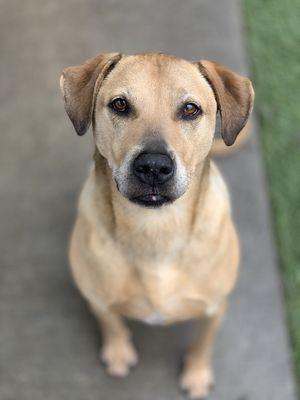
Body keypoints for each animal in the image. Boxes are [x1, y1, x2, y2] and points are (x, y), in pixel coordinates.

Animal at [60, 51, 253, 398]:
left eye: (190, 109)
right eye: (120, 105)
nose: (153, 166)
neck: (155, 231)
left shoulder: (215, 307)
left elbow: (203, 342)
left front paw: (196, 374)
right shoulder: (97, 298)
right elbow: (111, 323)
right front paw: (118, 353)